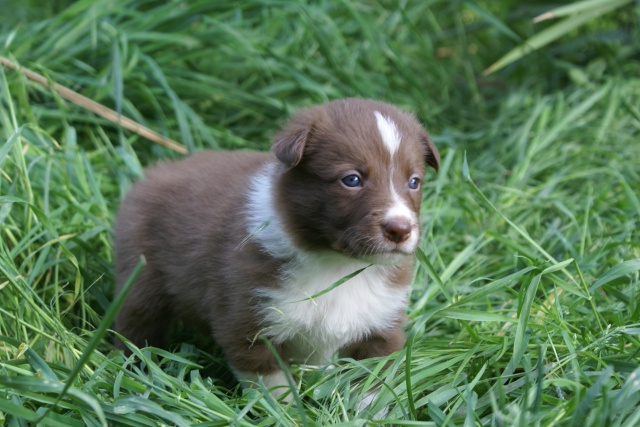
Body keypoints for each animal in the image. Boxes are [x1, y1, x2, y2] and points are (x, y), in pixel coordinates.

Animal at [112, 98, 438, 400]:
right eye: (352, 179)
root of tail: (158, 171)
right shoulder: (250, 318)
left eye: (414, 182)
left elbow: (374, 384)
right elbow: (272, 384)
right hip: (140, 276)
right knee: (135, 323)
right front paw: (284, 411)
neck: (337, 265)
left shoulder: (382, 321)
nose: (400, 229)